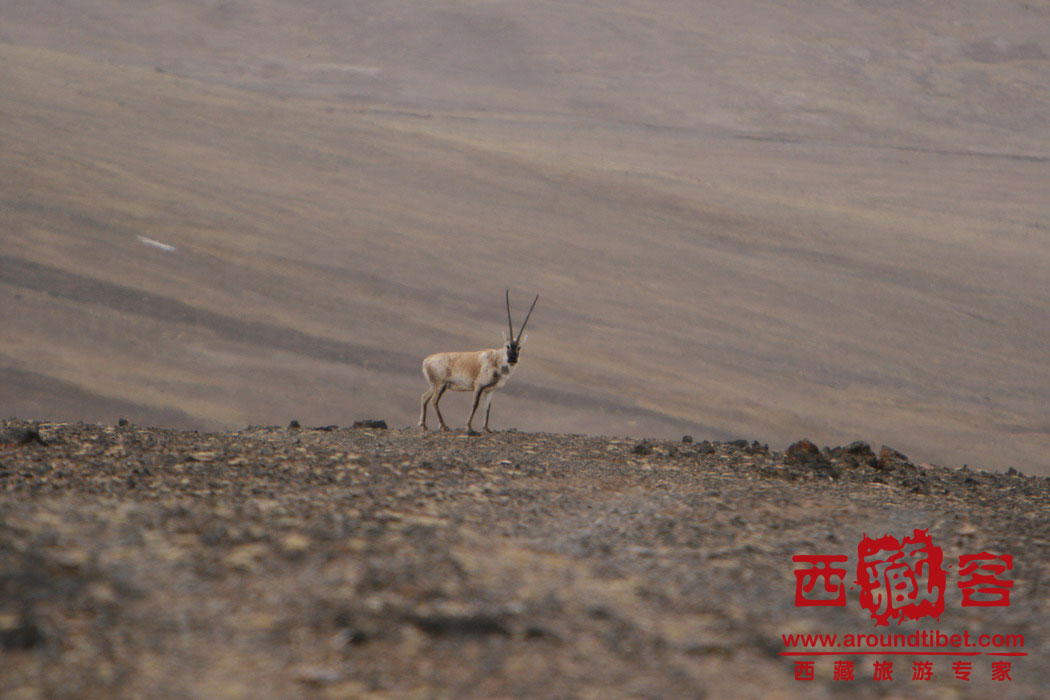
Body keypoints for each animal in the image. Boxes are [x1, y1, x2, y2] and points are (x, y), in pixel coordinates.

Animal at [422, 289, 541, 432]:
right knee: (434, 400)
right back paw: (443, 426)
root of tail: (426, 361)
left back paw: (423, 425)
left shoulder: (490, 390)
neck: (497, 359)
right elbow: (475, 404)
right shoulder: (478, 386)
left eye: (519, 347)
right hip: (440, 385)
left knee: (424, 397)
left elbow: (487, 407)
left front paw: (487, 428)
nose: (512, 359)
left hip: (435, 386)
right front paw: (468, 426)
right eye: (507, 346)